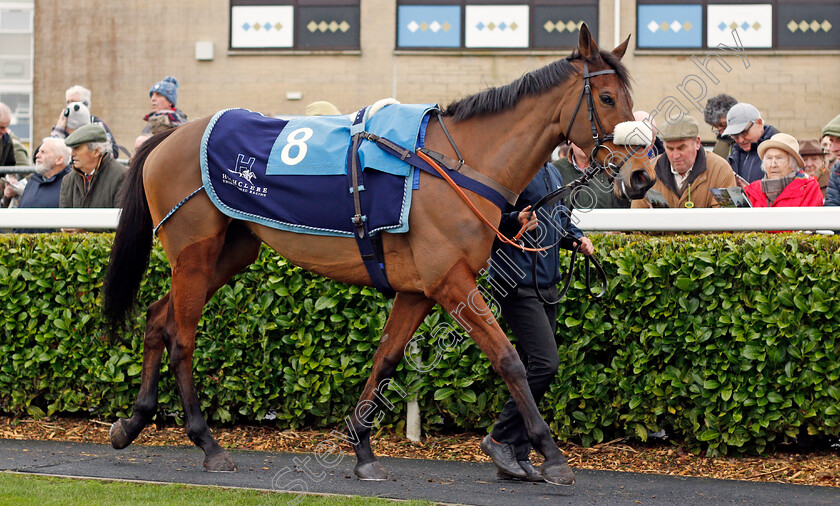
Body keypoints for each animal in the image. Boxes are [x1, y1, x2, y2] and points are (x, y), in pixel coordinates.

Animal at [105, 26, 652, 486]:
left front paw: (363, 449)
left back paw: (131, 422)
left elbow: (386, 358)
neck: (458, 164)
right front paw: (552, 456)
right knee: (181, 338)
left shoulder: (418, 289)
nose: (642, 175)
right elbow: (510, 359)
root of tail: (166, 139)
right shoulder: (451, 282)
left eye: (632, 99)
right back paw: (208, 444)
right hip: (194, 253)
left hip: (229, 252)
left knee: (157, 317)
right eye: (607, 98)